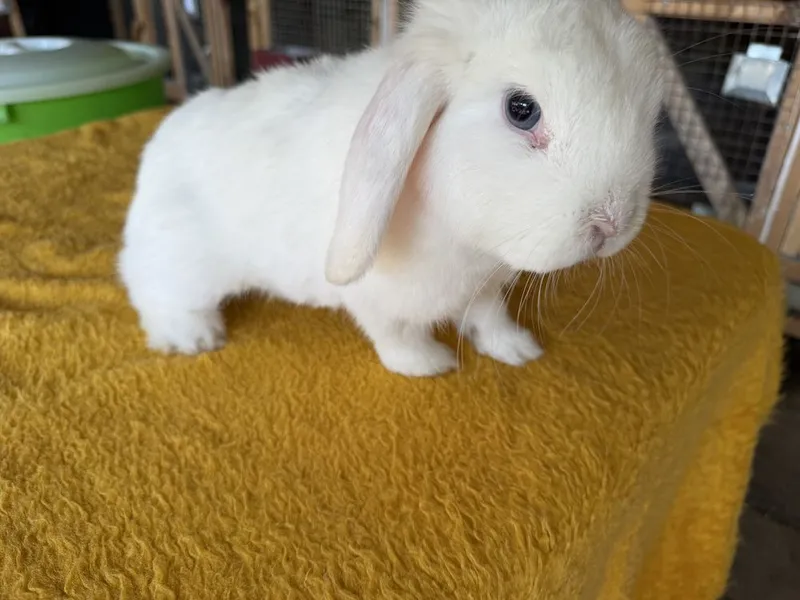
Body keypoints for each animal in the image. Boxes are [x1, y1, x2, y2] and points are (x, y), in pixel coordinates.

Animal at [117, 0, 663, 377]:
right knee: (152, 291)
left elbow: (489, 318)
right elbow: (396, 336)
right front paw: (430, 364)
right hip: (179, 261)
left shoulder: (483, 287)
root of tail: (160, 141)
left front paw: (517, 349)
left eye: (647, 110)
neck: (468, 244)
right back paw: (193, 337)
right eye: (521, 109)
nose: (613, 223)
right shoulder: (378, 299)